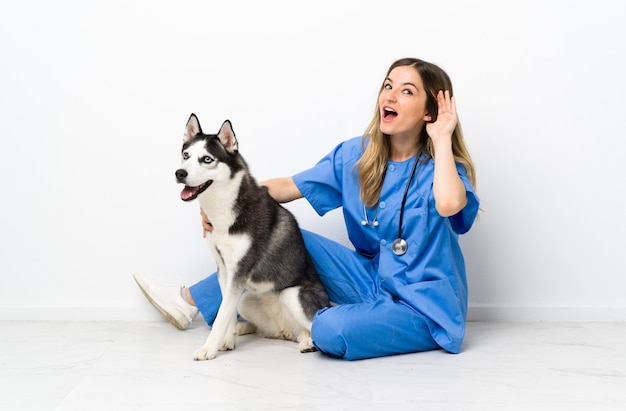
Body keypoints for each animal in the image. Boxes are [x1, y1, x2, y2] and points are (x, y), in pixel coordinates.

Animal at [176, 113, 330, 360]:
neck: (224, 208)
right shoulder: (224, 270)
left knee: (314, 326)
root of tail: (285, 330)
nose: (179, 173)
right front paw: (227, 341)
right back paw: (248, 329)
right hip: (247, 301)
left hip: (293, 294)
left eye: (207, 159)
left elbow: (221, 316)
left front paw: (209, 348)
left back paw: (307, 342)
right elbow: (226, 311)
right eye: (186, 155)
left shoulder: (239, 271)